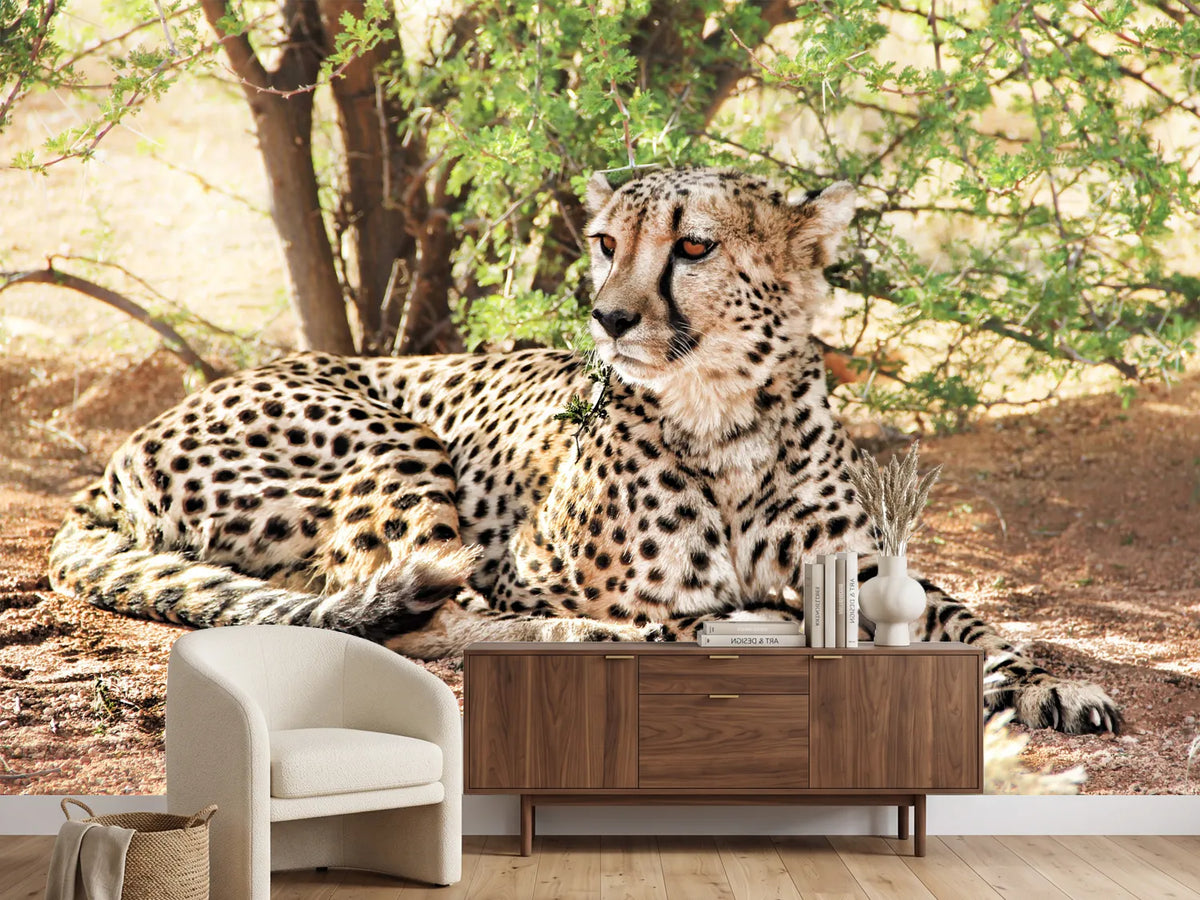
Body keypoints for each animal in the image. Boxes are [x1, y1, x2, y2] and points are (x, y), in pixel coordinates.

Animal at [49, 166, 1119, 734]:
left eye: (694, 247)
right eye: (607, 241)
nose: (606, 317)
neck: (726, 416)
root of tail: (114, 460)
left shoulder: (858, 572)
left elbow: (975, 621)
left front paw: (1049, 682)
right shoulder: (526, 568)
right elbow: (621, 615)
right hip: (394, 442)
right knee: (407, 613)